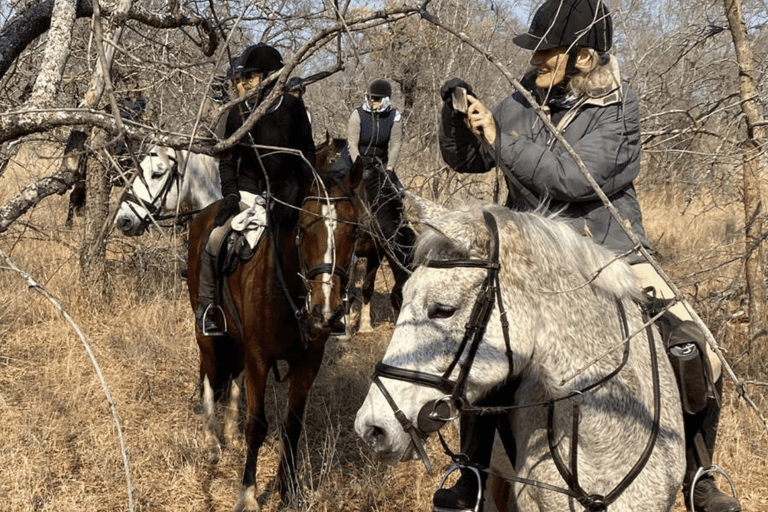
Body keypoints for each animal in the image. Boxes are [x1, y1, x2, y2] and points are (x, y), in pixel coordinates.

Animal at [188, 158, 364, 510]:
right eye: (305, 227)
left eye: (353, 230)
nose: (326, 310)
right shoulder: (260, 358)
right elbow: (257, 426)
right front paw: (248, 495)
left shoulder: (308, 362)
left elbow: (292, 426)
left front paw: (288, 490)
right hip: (209, 336)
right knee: (210, 377)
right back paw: (212, 440)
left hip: (239, 342)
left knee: (232, 376)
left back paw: (229, 434)